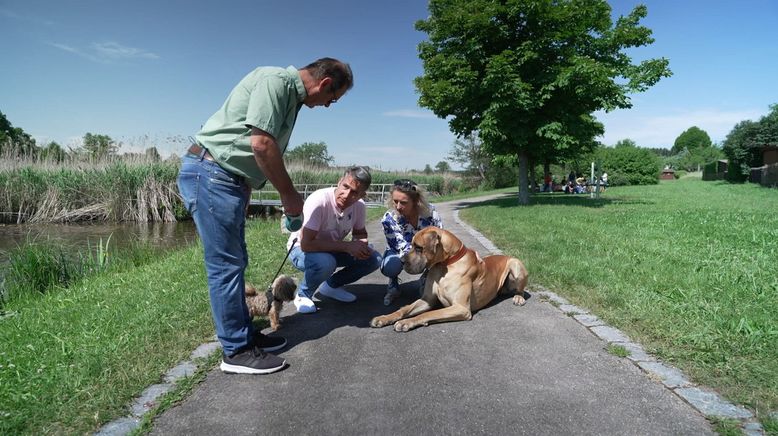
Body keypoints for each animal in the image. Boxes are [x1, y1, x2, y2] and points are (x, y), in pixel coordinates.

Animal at [366, 227, 524, 332]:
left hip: (515, 265)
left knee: (520, 289)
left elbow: (429, 313)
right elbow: (404, 309)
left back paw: (518, 297)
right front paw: (385, 318)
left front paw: (407, 322)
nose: (401, 261)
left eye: (418, 247)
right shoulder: (427, 299)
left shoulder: (461, 308)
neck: (444, 265)